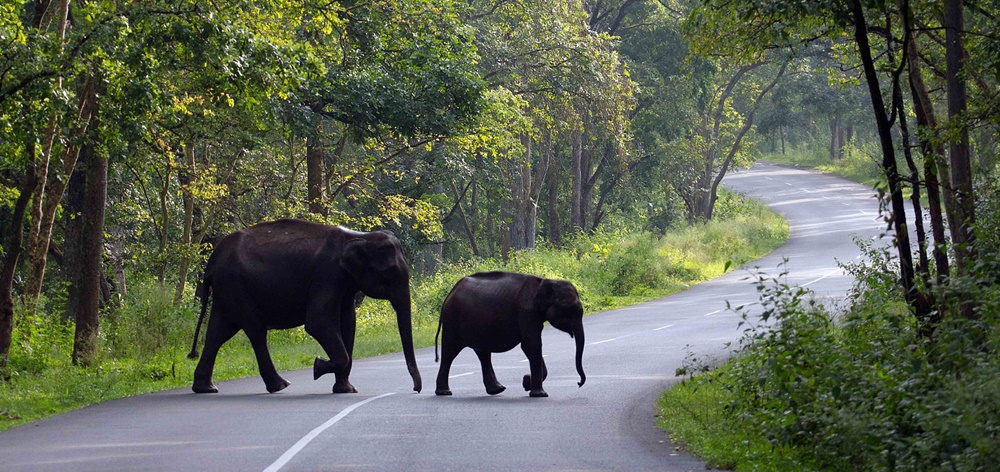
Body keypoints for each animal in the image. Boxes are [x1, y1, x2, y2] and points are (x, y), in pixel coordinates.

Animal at [188, 220, 422, 394]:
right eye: (389, 275)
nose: (416, 389)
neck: (360, 236)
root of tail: (211, 263)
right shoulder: (326, 275)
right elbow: (318, 323)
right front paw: (317, 366)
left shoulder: (344, 281)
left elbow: (348, 322)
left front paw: (346, 389)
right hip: (235, 285)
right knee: (254, 330)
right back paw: (280, 385)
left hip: (227, 290)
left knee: (218, 332)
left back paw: (206, 388)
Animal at [432, 272, 584, 396]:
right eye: (570, 311)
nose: (578, 383)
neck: (546, 281)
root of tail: (449, 294)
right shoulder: (527, 311)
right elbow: (531, 345)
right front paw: (539, 393)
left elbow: (532, 346)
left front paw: (526, 383)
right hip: (452, 319)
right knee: (450, 352)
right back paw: (444, 392)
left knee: (483, 353)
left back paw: (497, 390)